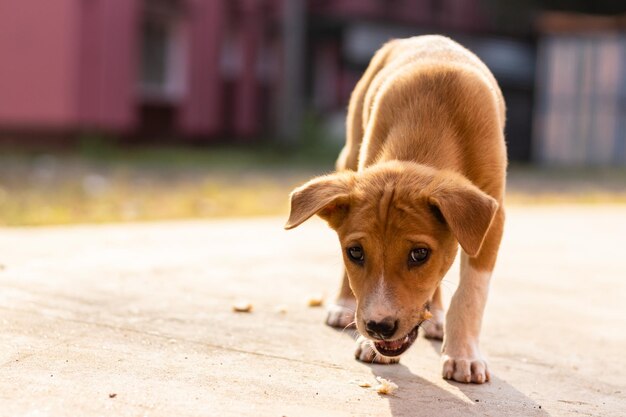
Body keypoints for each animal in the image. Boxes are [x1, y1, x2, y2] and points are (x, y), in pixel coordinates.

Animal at [286, 35, 504, 384]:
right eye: (355, 252)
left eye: (419, 254)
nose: (378, 327)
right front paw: (370, 345)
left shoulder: (492, 218)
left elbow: (471, 293)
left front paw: (463, 355)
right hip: (350, 151)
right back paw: (344, 305)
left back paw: (436, 317)